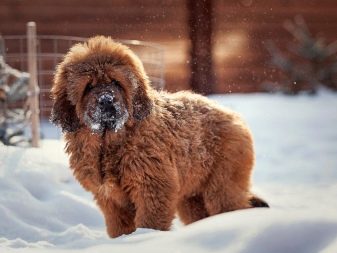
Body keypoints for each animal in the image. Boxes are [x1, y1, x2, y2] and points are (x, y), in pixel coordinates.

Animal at [50, 36, 266, 238]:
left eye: (115, 82)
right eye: (88, 86)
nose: (106, 100)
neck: (110, 142)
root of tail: (233, 115)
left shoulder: (152, 188)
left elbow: (150, 221)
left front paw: (146, 237)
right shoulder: (110, 199)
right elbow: (119, 227)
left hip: (221, 186)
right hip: (192, 197)